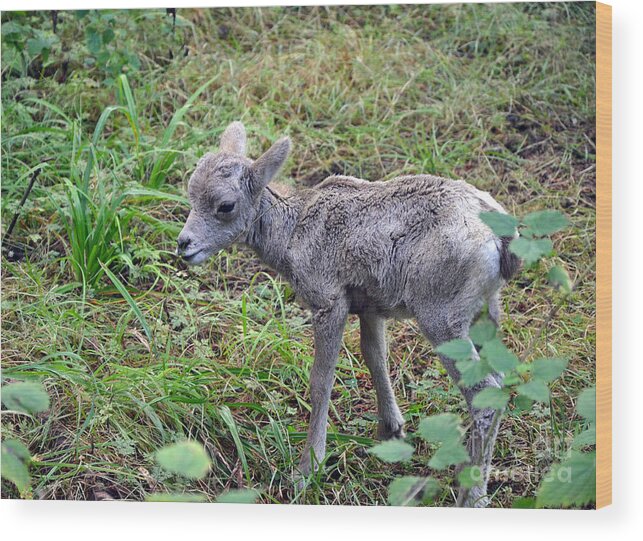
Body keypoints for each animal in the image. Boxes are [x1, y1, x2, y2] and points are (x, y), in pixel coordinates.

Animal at [179, 122, 520, 506]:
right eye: (190, 193)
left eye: (225, 205)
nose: (184, 245)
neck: (291, 233)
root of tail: (501, 241)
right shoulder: (371, 308)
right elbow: (375, 357)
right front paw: (391, 432)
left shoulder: (330, 305)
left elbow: (321, 381)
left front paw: (306, 470)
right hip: (485, 314)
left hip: (442, 320)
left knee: (484, 397)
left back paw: (471, 494)